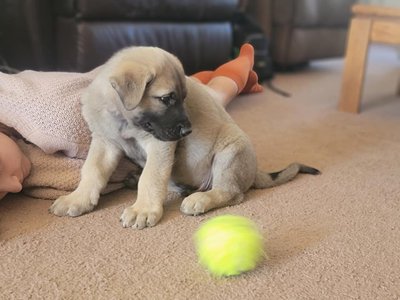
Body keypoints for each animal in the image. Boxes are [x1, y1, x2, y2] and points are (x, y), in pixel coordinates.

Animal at [49, 46, 318, 230]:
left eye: (183, 98)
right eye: (166, 99)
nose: (188, 131)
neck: (124, 119)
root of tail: (254, 173)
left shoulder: (160, 145)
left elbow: (151, 178)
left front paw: (143, 209)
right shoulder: (105, 142)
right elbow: (92, 172)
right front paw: (78, 199)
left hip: (231, 151)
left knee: (232, 193)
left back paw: (201, 199)